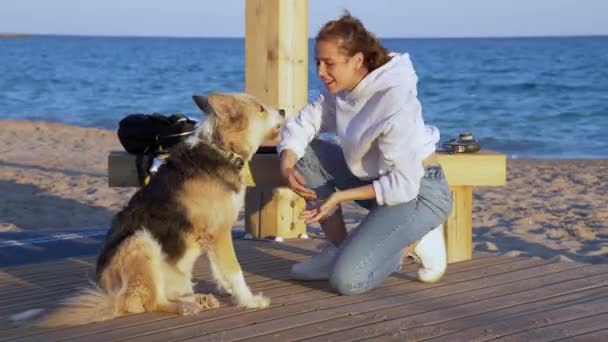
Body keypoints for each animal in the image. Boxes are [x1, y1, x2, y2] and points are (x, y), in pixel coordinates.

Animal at [9, 92, 284, 328]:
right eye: (260, 108)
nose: (282, 110)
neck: (220, 149)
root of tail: (109, 295)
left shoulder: (214, 235)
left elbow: (219, 269)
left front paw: (228, 291)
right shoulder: (218, 233)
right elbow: (234, 270)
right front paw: (249, 301)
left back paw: (196, 299)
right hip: (141, 241)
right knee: (150, 302)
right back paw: (185, 306)